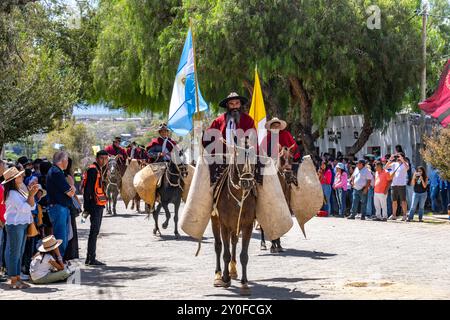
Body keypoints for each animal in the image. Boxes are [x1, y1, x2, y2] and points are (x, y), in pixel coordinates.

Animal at [211, 146, 256, 296]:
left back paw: (233, 270)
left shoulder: (247, 225)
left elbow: (244, 255)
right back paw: (218, 275)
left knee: (234, 242)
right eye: (239, 158)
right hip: (215, 221)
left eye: (254, 158)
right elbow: (225, 253)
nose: (247, 182)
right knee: (218, 246)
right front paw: (225, 279)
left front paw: (244, 283)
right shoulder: (224, 225)